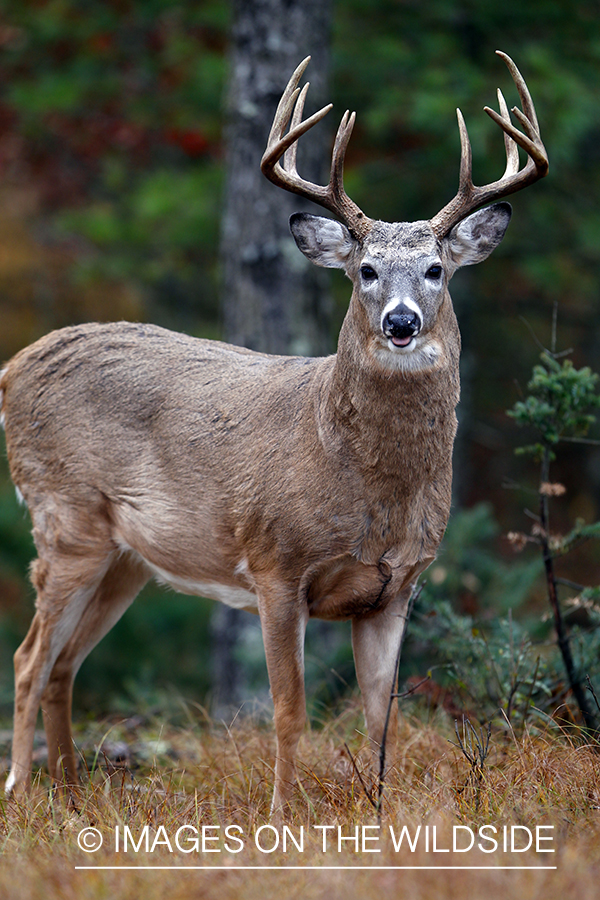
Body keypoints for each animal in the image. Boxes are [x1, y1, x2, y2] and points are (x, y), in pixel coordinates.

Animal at [0, 49, 548, 812]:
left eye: (437, 269)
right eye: (366, 269)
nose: (401, 322)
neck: (363, 485)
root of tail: (13, 367)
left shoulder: (397, 588)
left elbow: (381, 719)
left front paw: (378, 816)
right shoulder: (275, 564)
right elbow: (288, 710)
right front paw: (285, 813)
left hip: (127, 558)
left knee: (62, 665)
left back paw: (74, 797)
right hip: (65, 518)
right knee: (29, 658)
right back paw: (24, 793)